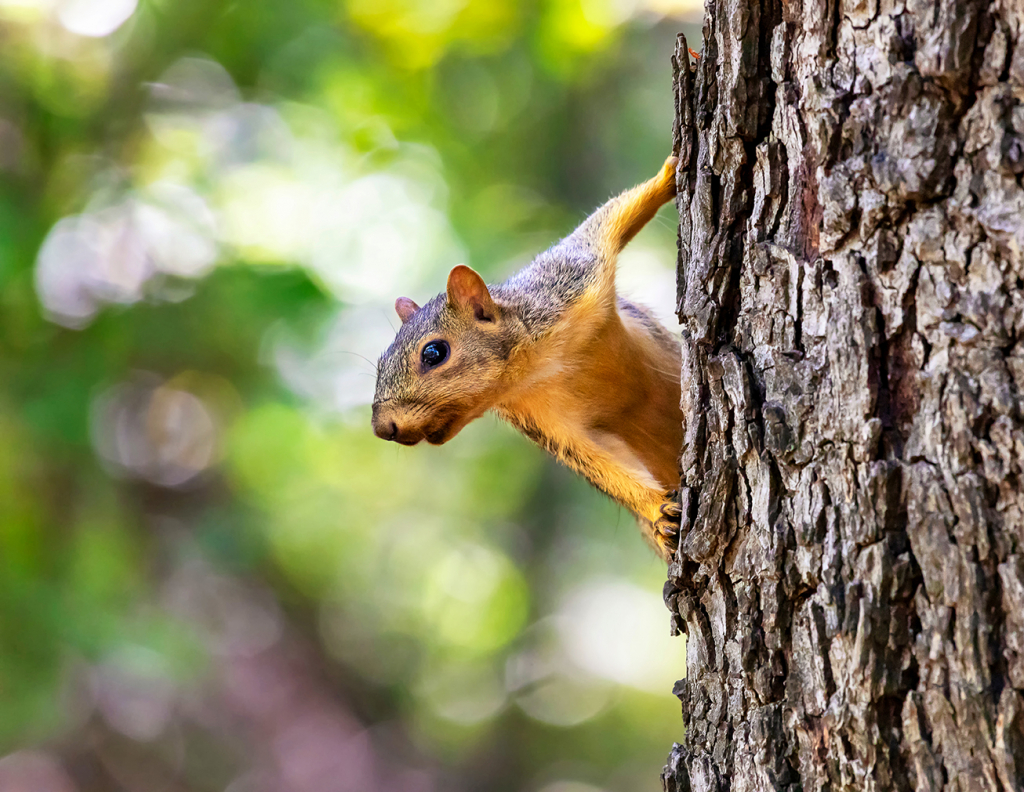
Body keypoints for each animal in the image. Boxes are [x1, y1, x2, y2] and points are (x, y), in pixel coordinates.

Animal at [372, 154, 684, 557]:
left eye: (434, 352)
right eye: (380, 362)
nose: (383, 428)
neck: (537, 365)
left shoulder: (568, 278)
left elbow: (606, 222)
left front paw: (669, 174)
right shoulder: (548, 423)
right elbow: (599, 464)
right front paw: (657, 510)